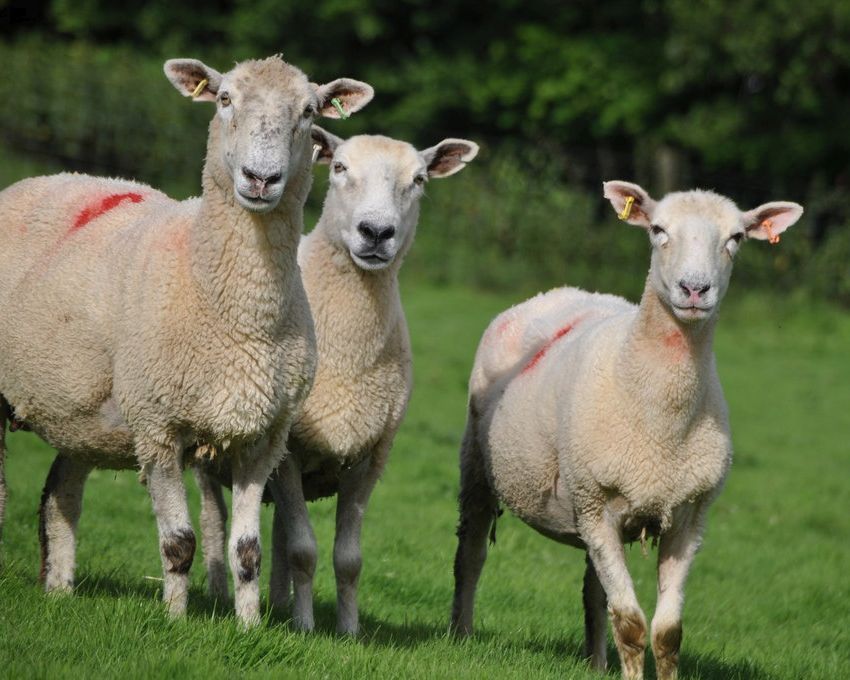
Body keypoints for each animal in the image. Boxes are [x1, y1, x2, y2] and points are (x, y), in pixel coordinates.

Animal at [0, 55, 373, 626]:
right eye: (223, 99)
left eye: (309, 111)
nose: (261, 179)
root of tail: (47, 177)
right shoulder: (157, 425)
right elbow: (179, 543)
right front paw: (174, 621)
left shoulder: (263, 437)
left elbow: (248, 551)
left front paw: (248, 627)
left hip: (82, 410)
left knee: (61, 494)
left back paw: (59, 589)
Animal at [195, 128, 479, 633]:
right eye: (341, 167)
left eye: (419, 179)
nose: (377, 232)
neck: (349, 351)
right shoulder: (287, 453)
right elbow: (304, 549)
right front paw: (307, 629)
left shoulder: (370, 458)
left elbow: (347, 558)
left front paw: (347, 630)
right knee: (216, 517)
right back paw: (221, 594)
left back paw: (281, 603)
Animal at [450, 181, 803, 679]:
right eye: (658, 230)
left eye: (735, 238)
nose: (694, 289)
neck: (663, 421)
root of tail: (560, 291)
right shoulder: (596, 506)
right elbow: (632, 624)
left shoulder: (688, 517)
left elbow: (666, 633)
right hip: (481, 467)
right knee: (472, 554)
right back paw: (460, 633)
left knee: (592, 591)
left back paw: (597, 662)